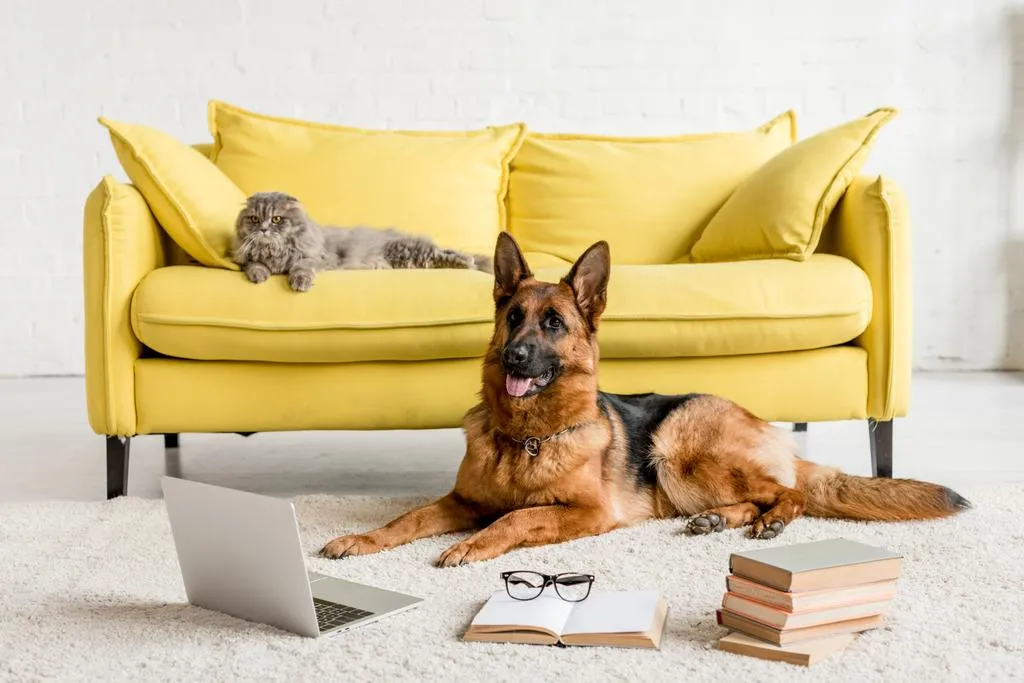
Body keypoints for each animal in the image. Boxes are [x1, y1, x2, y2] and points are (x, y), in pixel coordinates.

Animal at [230, 191, 493, 292]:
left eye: (276, 219)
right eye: (254, 219)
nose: (264, 229)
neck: (274, 251)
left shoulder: (315, 258)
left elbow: (300, 269)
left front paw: (301, 284)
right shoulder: (248, 259)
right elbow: (253, 265)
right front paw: (259, 276)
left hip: (408, 252)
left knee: (446, 254)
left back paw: (468, 262)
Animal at [321, 235, 966, 565]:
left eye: (553, 324)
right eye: (513, 318)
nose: (514, 358)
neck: (528, 436)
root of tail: (763, 426)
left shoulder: (586, 512)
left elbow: (519, 516)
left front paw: (474, 545)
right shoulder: (460, 500)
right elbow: (407, 518)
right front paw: (361, 539)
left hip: (678, 450)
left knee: (791, 493)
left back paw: (773, 521)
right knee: (754, 497)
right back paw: (718, 520)